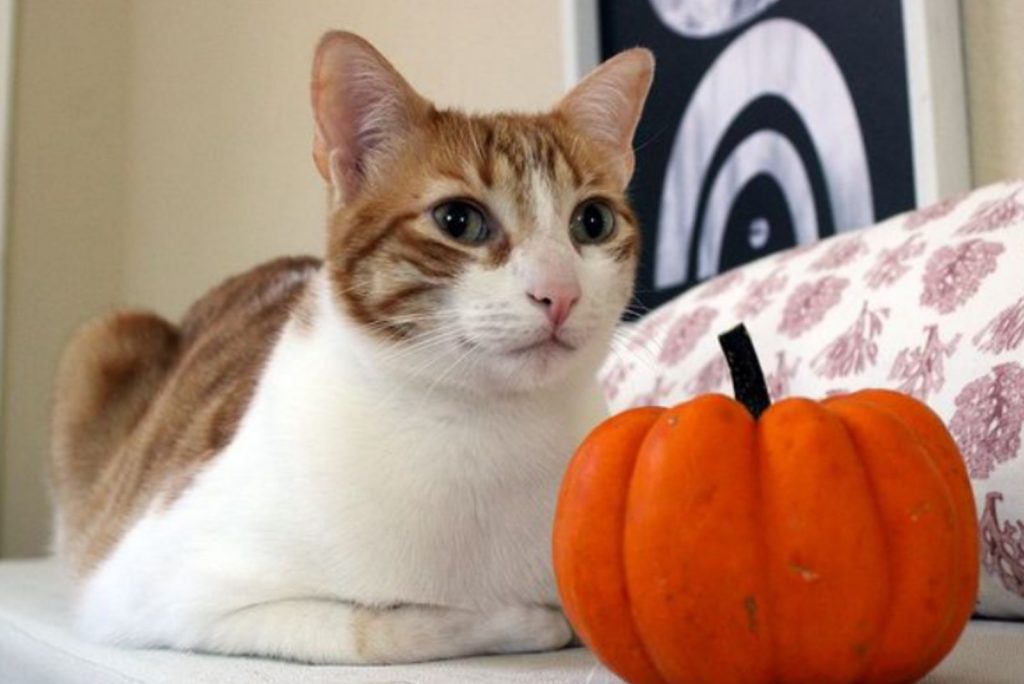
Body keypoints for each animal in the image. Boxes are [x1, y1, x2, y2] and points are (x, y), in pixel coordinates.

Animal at [48, 30, 651, 663]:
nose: (560, 293)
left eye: (592, 221)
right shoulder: (159, 597)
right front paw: (521, 620)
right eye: (458, 221)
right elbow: (378, 629)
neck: (483, 427)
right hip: (106, 339)